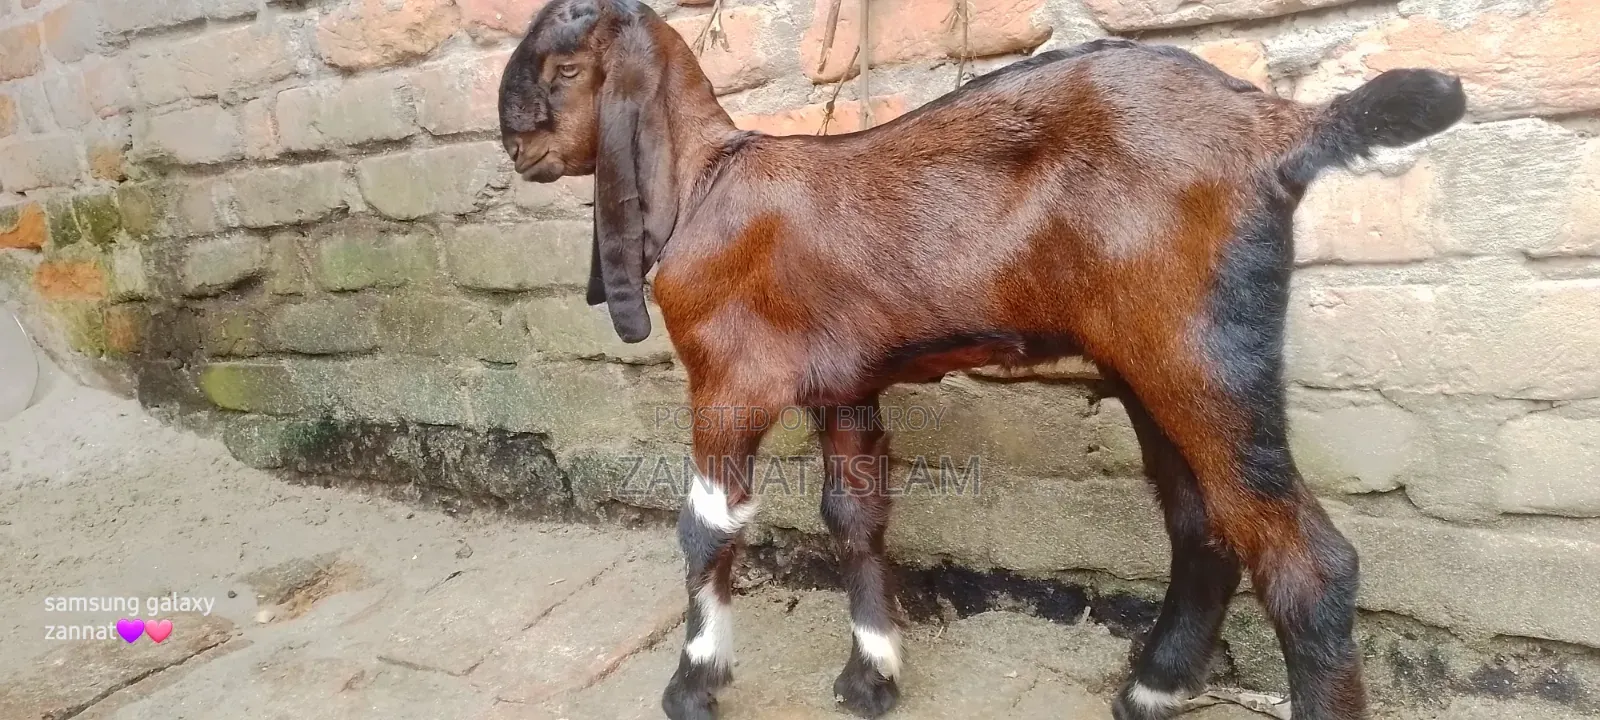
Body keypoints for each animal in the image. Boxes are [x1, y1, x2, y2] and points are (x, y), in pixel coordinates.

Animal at [497, 2, 1466, 718]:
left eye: (568, 69)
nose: (516, 145)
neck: (705, 184)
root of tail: (1276, 124)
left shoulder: (728, 381)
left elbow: (708, 528)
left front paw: (693, 686)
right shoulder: (843, 389)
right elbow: (855, 515)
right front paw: (872, 678)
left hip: (1200, 353)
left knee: (1307, 563)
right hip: (1149, 363)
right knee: (1203, 528)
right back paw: (1150, 690)